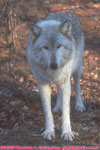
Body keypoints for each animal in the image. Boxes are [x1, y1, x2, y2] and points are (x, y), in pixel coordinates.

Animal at [26, 12, 85, 141]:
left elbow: (66, 111)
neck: (52, 72)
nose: (54, 65)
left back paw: (79, 105)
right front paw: (49, 131)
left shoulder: (65, 82)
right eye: (45, 47)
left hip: (76, 69)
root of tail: (67, 12)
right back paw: (58, 107)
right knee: (58, 91)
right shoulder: (42, 85)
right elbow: (48, 112)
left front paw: (67, 132)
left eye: (59, 46)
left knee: (77, 86)